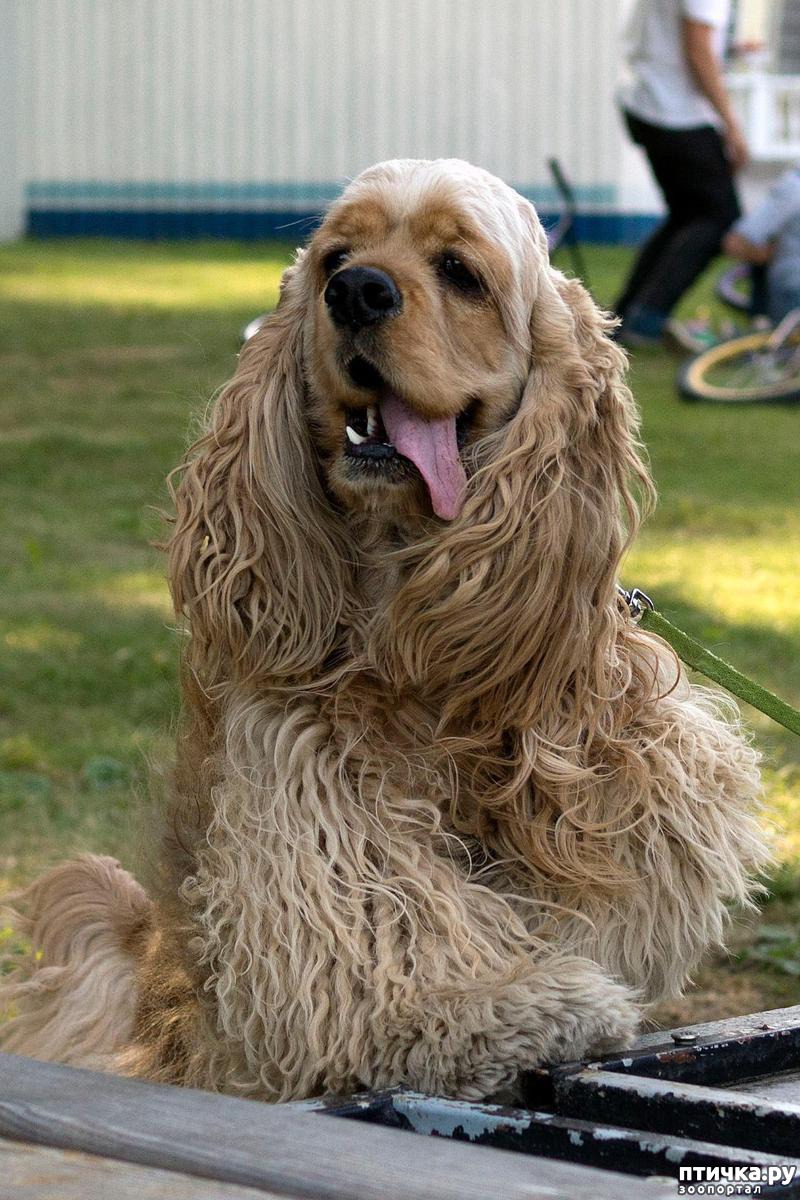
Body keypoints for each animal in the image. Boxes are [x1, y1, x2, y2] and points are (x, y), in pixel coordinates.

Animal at [0, 162, 767, 1104]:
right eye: (336, 256)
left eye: (461, 272)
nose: (356, 291)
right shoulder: (297, 794)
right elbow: (387, 939)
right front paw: (503, 1004)